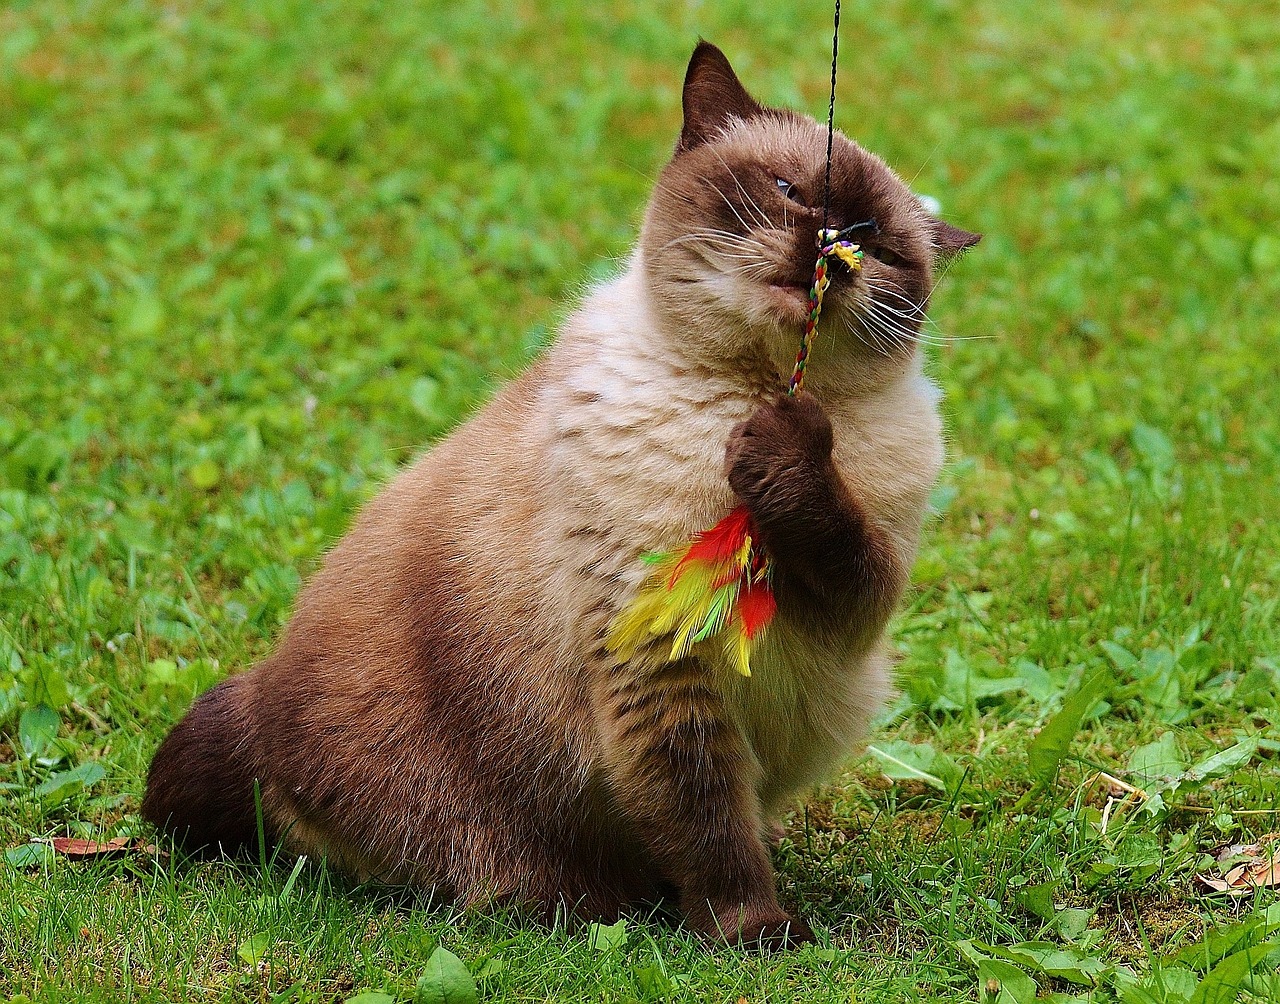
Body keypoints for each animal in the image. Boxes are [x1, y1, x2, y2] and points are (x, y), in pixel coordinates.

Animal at [142, 39, 977, 947]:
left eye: (875, 242)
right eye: (790, 191)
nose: (828, 249)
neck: (750, 389)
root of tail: (262, 708)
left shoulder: (859, 601)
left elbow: (831, 535)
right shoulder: (658, 665)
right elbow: (708, 824)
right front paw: (753, 931)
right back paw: (602, 904)